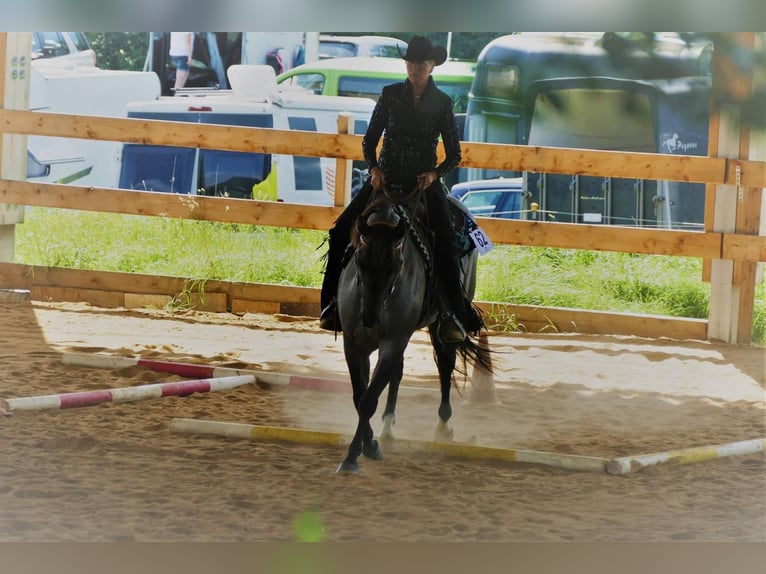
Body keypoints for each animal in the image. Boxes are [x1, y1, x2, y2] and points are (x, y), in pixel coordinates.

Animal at [336, 190, 492, 476]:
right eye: (359, 261)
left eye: (396, 265)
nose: (370, 318)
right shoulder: (354, 344)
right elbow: (360, 396)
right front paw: (369, 444)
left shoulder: (393, 341)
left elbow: (368, 399)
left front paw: (355, 455)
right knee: (397, 374)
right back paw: (388, 428)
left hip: (441, 324)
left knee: (445, 365)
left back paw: (443, 426)